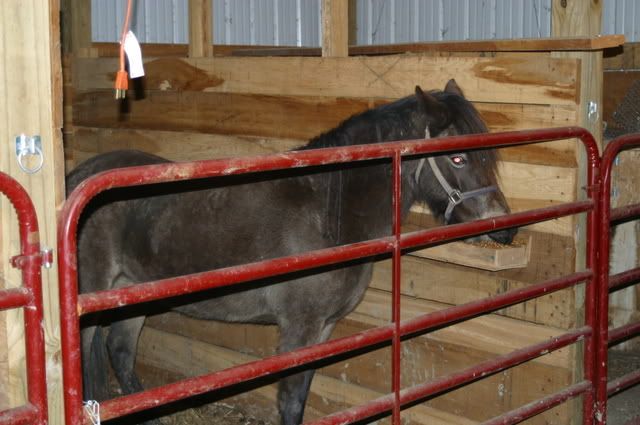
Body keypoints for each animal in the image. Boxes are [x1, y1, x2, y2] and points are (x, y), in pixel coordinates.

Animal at [66, 79, 516, 425]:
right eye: (457, 157)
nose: (506, 228)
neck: (327, 210)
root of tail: (80, 176)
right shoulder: (299, 328)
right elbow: (290, 400)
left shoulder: (324, 328)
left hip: (132, 293)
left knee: (121, 353)